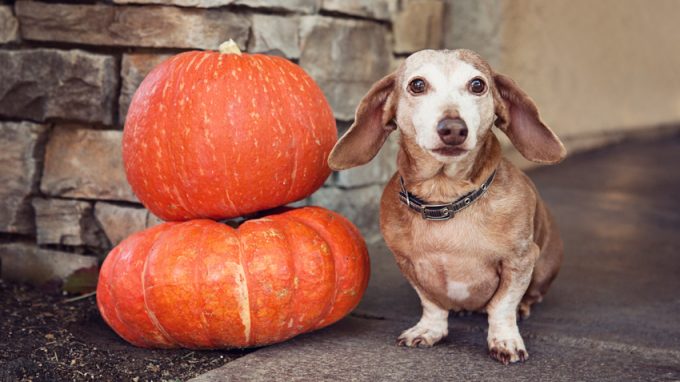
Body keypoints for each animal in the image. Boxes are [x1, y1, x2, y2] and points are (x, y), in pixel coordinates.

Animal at [326, 49, 564, 366]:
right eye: (417, 85)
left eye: (477, 84)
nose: (453, 128)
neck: (445, 199)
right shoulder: (408, 264)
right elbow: (432, 303)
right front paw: (429, 330)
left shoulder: (521, 260)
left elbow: (501, 306)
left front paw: (505, 341)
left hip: (545, 264)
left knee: (530, 295)